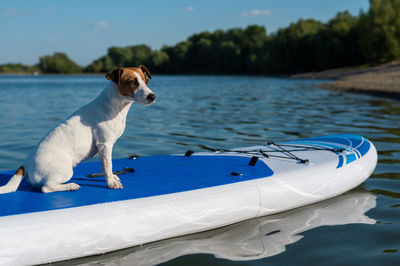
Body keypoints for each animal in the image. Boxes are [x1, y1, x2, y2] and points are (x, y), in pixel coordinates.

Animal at [0, 64, 155, 193]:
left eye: (146, 81)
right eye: (133, 82)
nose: (152, 96)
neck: (116, 105)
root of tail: (25, 164)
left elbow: (108, 167)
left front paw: (112, 177)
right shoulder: (105, 145)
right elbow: (107, 166)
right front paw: (110, 182)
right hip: (65, 170)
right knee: (46, 188)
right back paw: (70, 186)